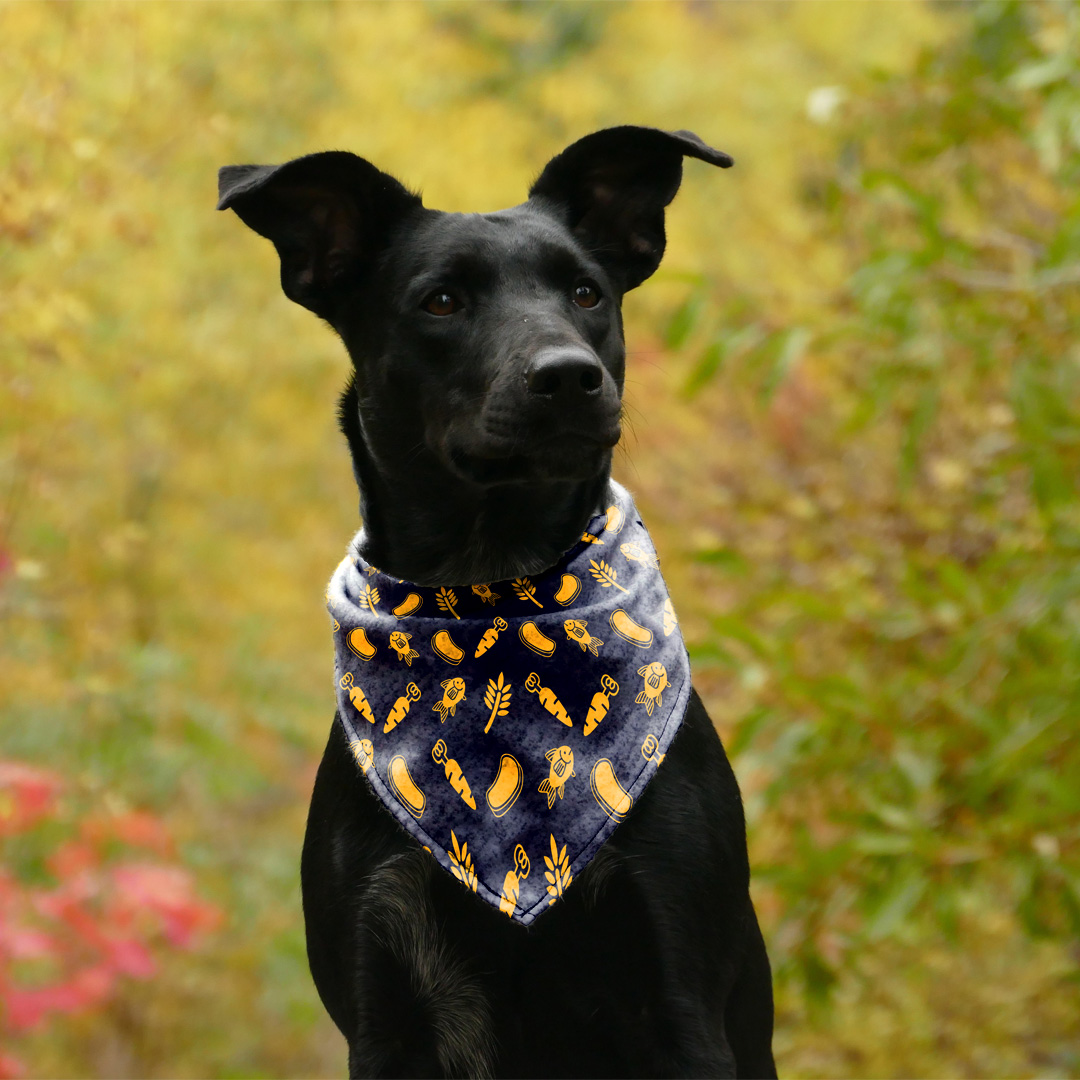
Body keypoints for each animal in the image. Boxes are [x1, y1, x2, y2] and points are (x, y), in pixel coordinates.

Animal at [221, 128, 777, 1080]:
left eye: (587, 292)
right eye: (441, 301)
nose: (568, 377)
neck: (492, 590)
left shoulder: (678, 988)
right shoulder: (385, 994)